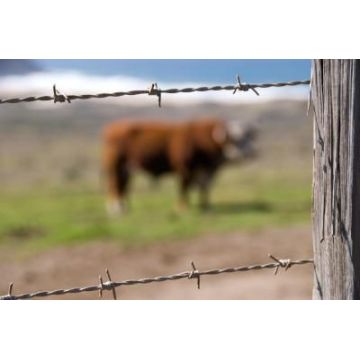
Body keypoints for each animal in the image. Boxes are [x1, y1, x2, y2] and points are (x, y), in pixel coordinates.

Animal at [102, 116, 258, 215]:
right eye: (234, 139)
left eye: (248, 136)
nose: (252, 152)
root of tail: (113, 127)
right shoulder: (185, 169)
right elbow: (184, 188)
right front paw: (182, 209)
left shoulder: (206, 172)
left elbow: (204, 188)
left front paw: (205, 207)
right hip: (115, 166)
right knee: (114, 185)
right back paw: (115, 209)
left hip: (127, 168)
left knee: (122, 186)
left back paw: (124, 208)